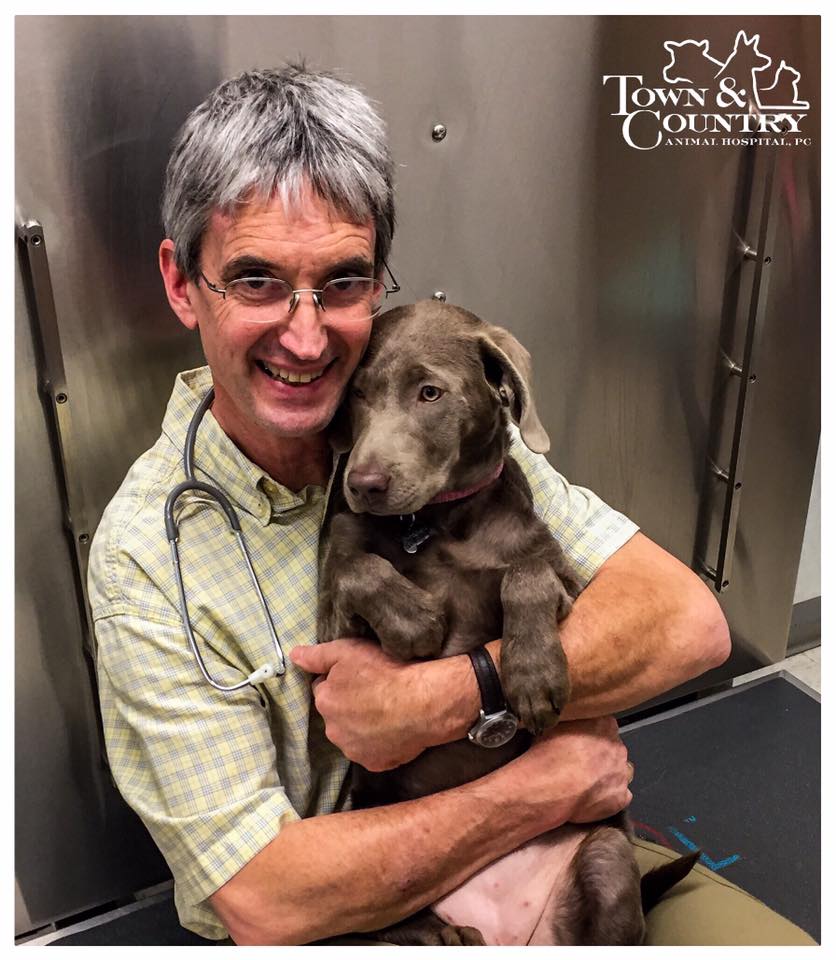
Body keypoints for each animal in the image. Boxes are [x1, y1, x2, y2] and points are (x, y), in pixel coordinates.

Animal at [316, 302, 696, 944]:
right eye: (358, 394)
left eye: (429, 392)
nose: (362, 484)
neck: (435, 523)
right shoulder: (334, 626)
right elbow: (353, 566)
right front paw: (417, 619)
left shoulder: (559, 575)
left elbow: (526, 574)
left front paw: (533, 677)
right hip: (371, 854)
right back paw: (446, 934)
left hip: (606, 855)